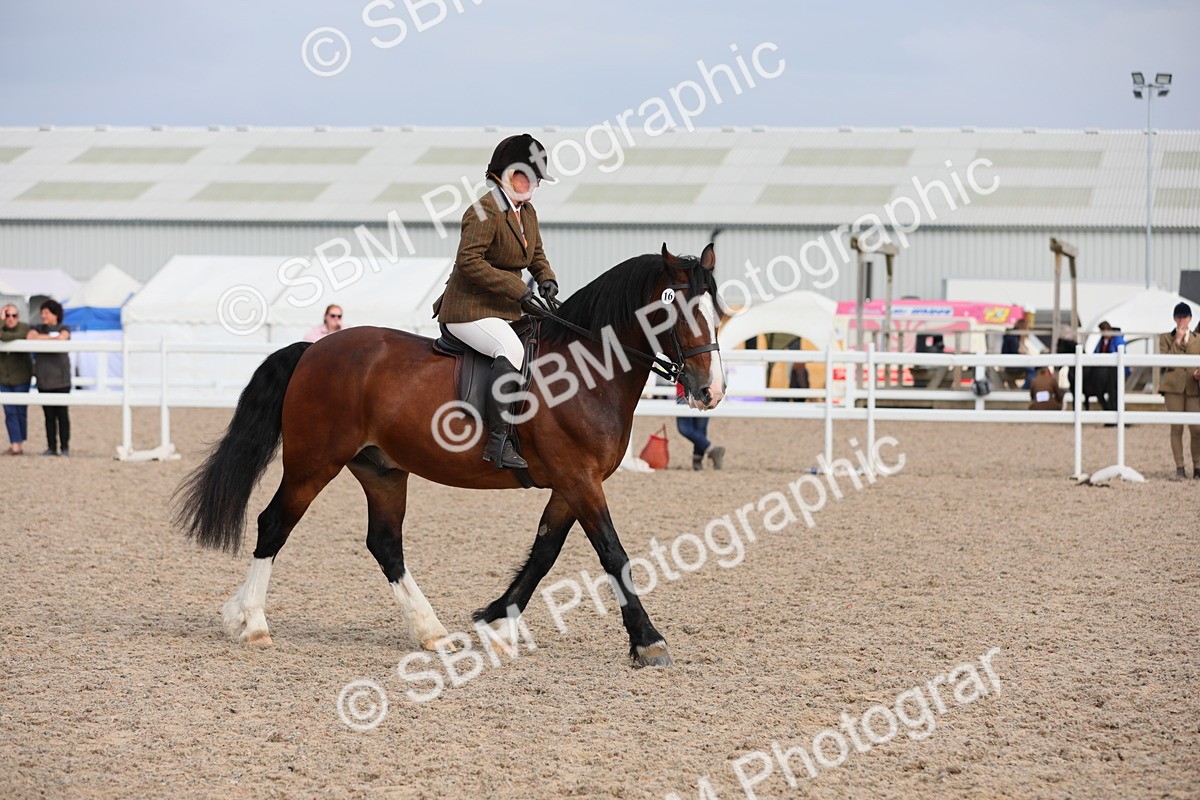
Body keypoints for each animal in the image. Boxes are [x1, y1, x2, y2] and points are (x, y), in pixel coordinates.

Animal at [174, 244, 726, 667]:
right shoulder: (579, 480)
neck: (587, 371)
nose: (710, 391)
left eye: (716, 309)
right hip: (314, 464)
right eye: (673, 309)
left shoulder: (573, 484)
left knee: (385, 544)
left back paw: (431, 632)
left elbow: (545, 552)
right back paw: (251, 623)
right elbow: (613, 553)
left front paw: (496, 623)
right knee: (275, 524)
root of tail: (314, 350)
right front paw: (649, 642)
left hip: (382, 471)